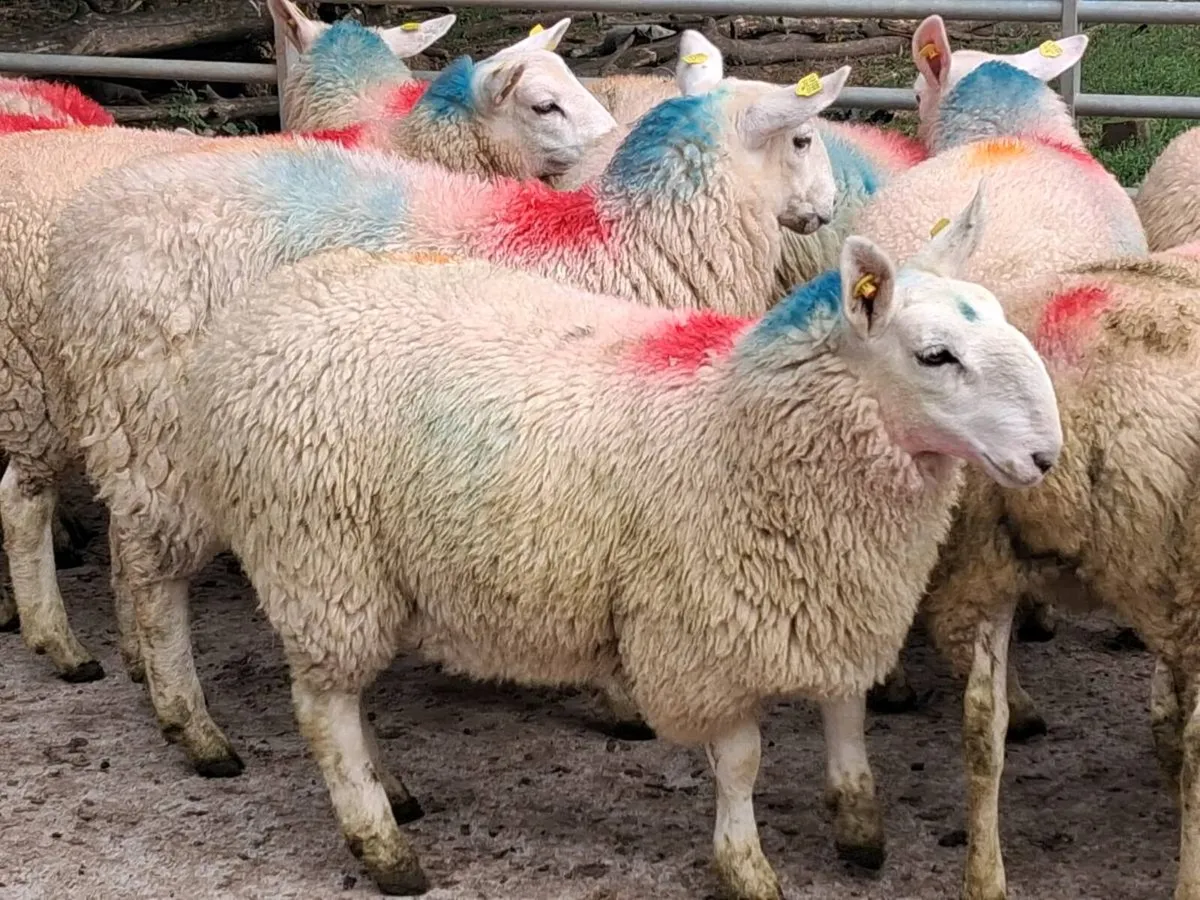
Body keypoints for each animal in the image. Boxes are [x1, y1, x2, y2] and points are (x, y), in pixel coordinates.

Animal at [40, 64, 849, 782]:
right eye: (804, 138)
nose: (828, 207)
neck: (631, 245)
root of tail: (82, 237)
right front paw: (623, 699)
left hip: (132, 429)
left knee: (129, 549)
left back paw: (140, 669)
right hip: (158, 429)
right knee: (153, 575)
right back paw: (191, 725)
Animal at [169, 192, 1061, 897]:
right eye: (935, 356)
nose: (1047, 456)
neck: (738, 423)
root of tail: (255, 315)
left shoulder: (835, 599)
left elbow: (846, 718)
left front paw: (860, 830)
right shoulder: (702, 635)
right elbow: (741, 762)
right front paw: (746, 869)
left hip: (358, 574)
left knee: (351, 702)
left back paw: (394, 792)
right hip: (320, 558)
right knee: (324, 711)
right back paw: (383, 847)